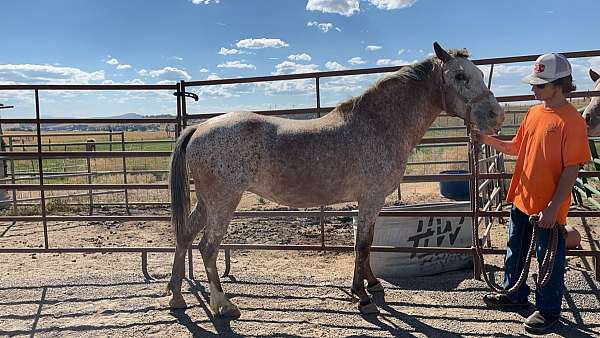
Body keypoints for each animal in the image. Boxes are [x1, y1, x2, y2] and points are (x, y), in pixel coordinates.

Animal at [165, 43, 506, 316]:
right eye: (460, 76)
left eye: (477, 73)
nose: (496, 116)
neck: (379, 124)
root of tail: (199, 128)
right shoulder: (370, 199)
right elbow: (363, 244)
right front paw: (363, 296)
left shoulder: (371, 202)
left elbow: (366, 243)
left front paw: (372, 284)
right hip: (223, 202)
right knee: (207, 247)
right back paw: (223, 305)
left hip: (207, 202)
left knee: (185, 236)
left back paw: (177, 297)